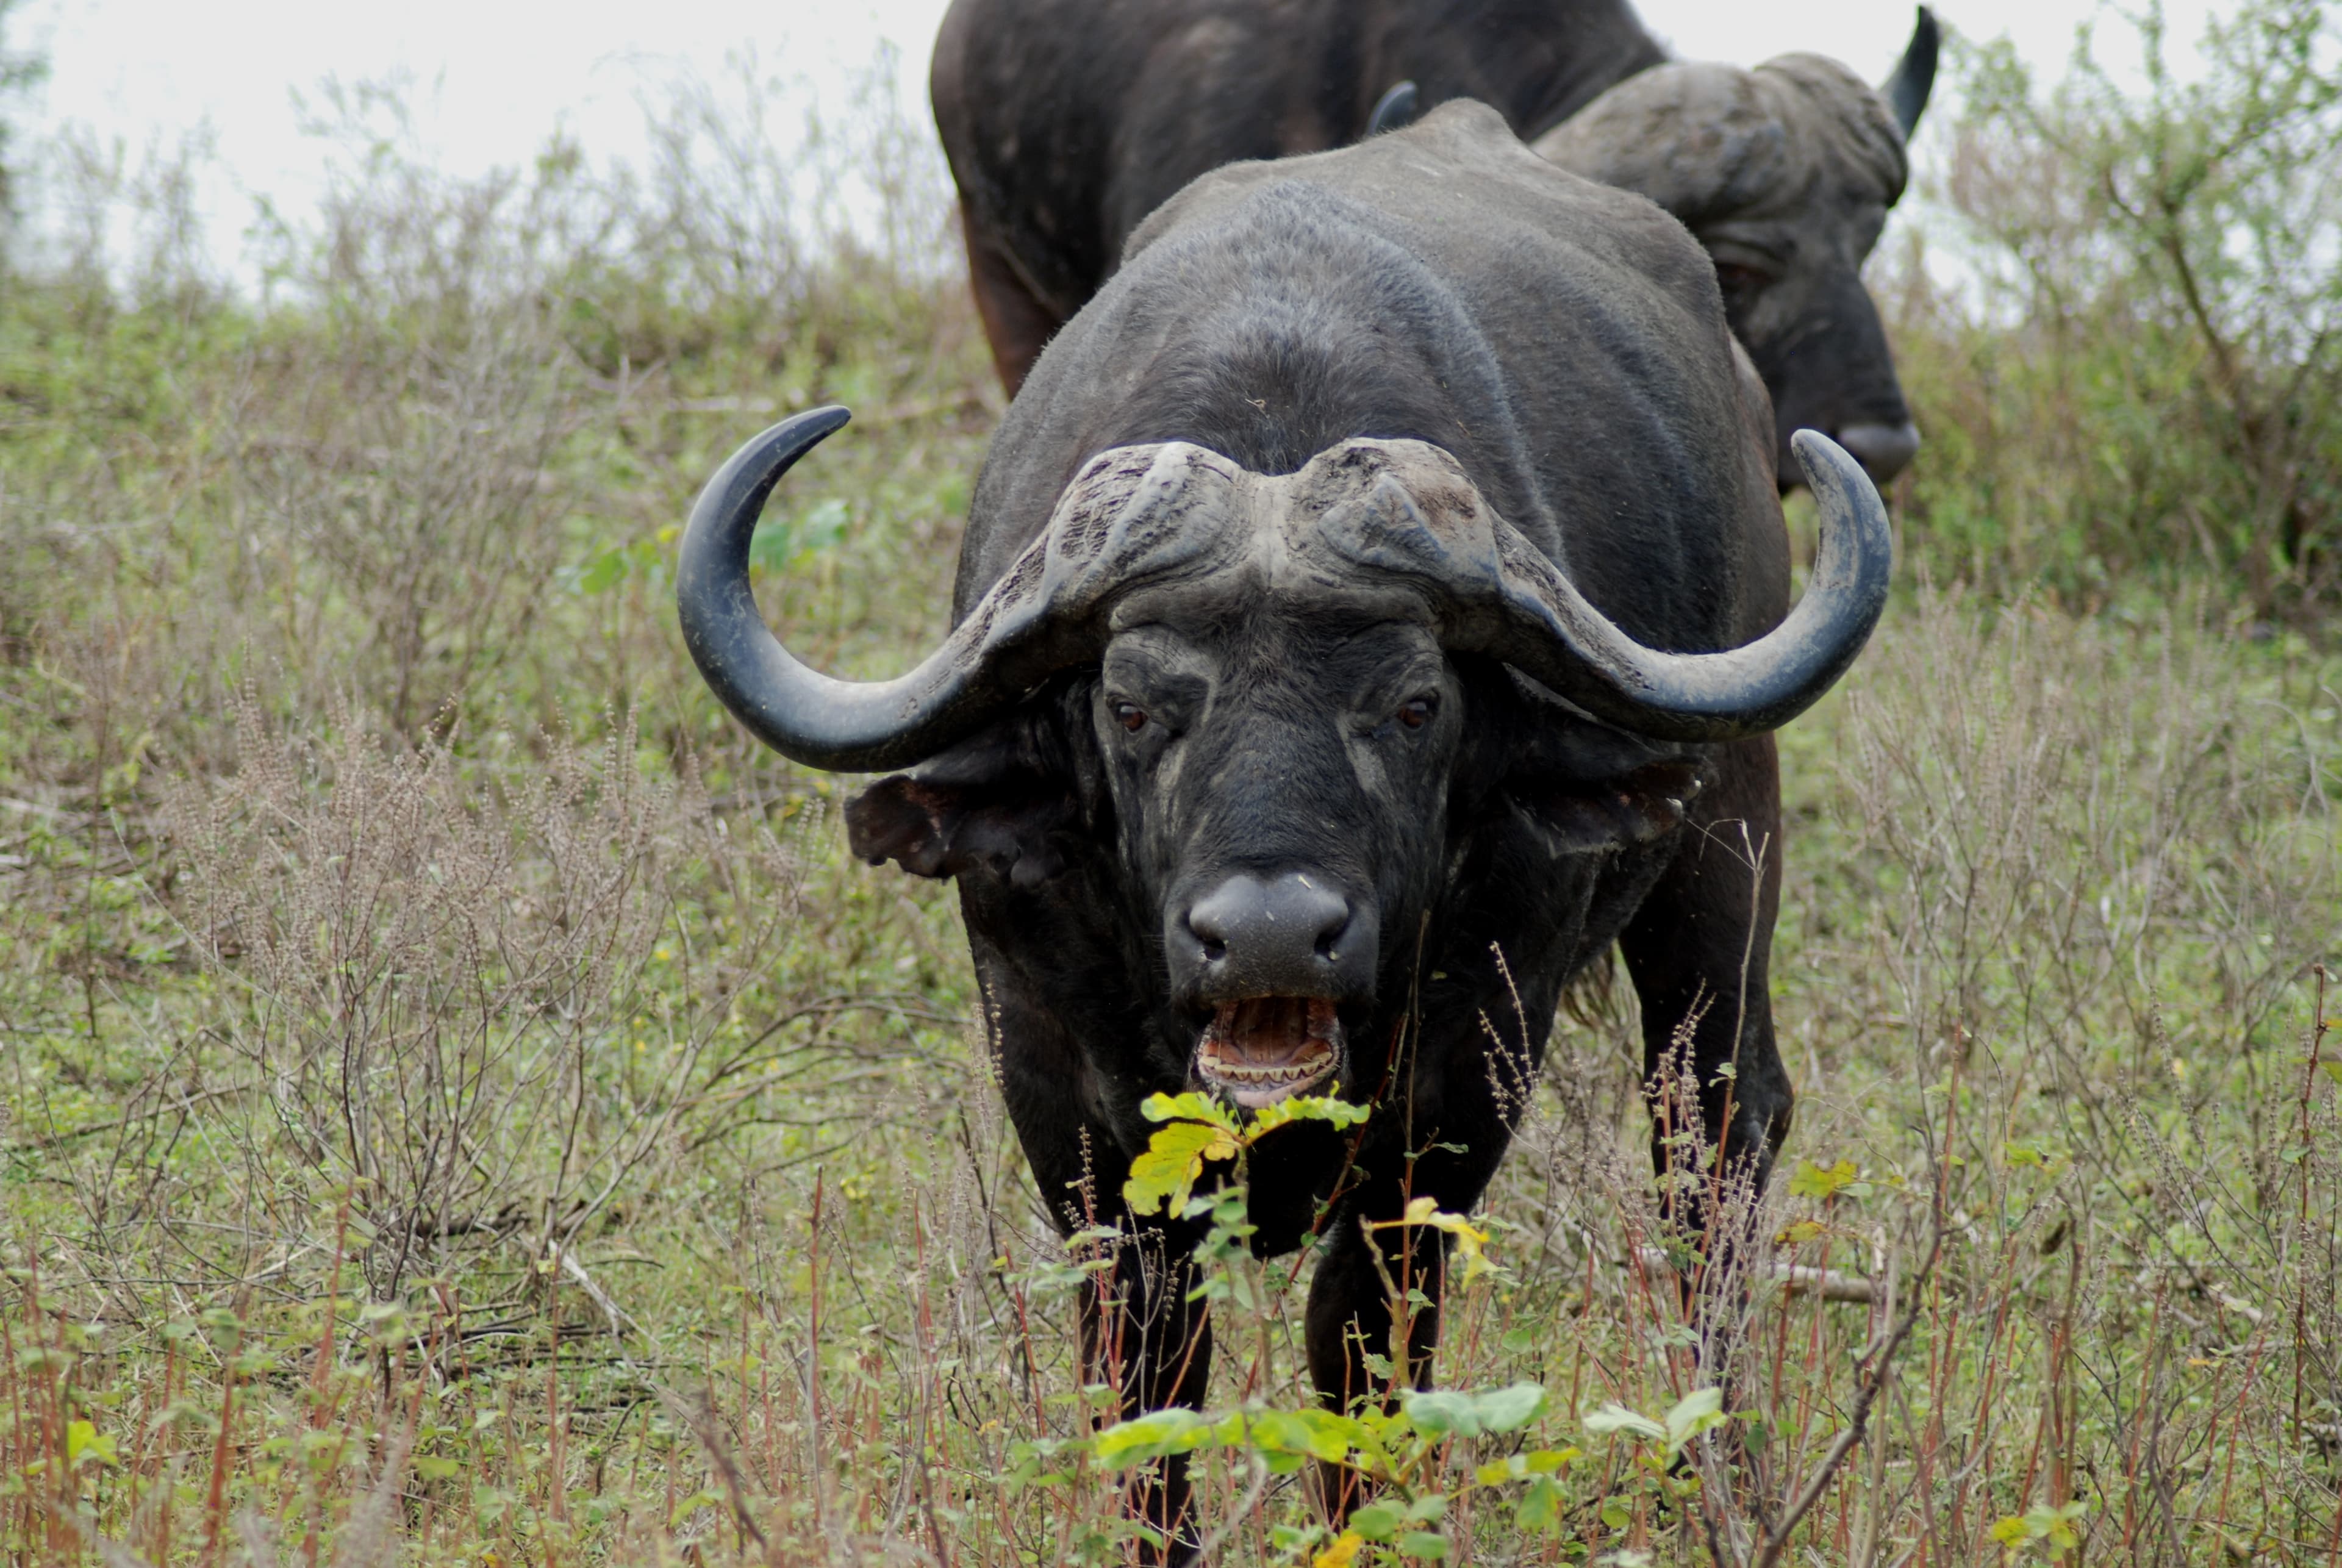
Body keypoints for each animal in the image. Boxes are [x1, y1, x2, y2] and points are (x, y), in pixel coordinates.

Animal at [679, 105, 1890, 1551]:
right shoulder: (1053, 1079)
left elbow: (1358, 1348)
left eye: (1417, 703)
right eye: (1132, 704)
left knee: (1713, 1150)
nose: (1267, 937)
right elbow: (1150, 1367)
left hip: (1725, 850)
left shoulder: (1459, 1085)